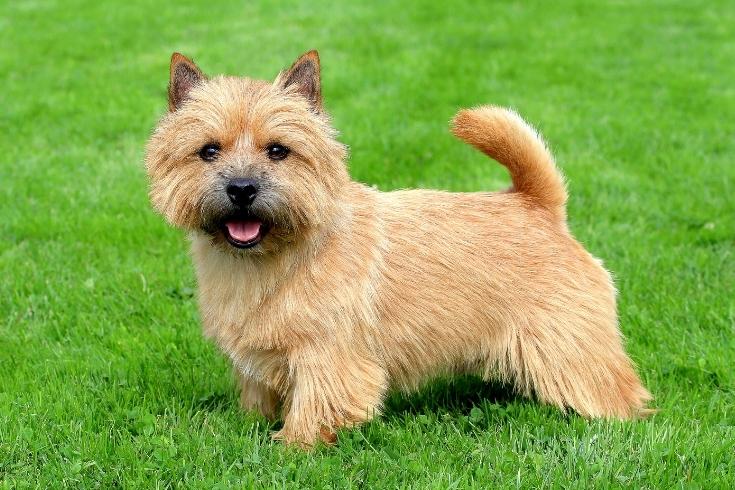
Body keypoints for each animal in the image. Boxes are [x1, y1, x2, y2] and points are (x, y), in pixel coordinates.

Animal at [144, 49, 648, 448]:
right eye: (208, 151)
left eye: (278, 150)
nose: (242, 188)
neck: (272, 259)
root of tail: (538, 204)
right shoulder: (258, 357)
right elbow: (256, 396)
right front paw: (249, 424)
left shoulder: (328, 356)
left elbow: (315, 407)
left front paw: (289, 446)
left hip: (568, 343)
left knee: (612, 390)